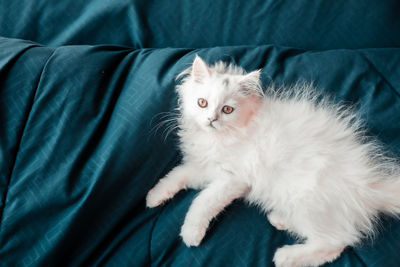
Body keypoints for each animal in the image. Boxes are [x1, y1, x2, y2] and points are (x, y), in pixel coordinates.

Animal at [146, 55, 400, 266]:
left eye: (227, 110)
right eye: (202, 103)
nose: (211, 119)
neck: (223, 137)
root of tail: (368, 187)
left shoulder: (233, 180)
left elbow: (202, 202)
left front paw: (191, 233)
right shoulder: (203, 167)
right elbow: (177, 175)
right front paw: (153, 196)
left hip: (307, 199)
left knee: (336, 242)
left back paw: (286, 257)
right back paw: (280, 219)